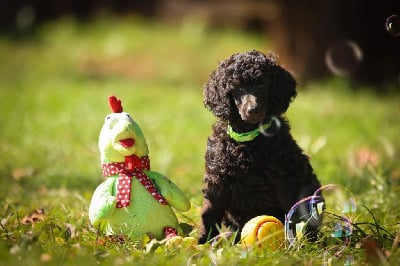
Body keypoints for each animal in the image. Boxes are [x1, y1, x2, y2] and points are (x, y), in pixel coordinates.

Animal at [200, 49, 322, 243]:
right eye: (237, 88)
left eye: (262, 84)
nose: (253, 110)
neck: (250, 139)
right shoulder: (217, 178)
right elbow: (209, 212)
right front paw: (202, 243)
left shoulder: (286, 178)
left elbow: (292, 213)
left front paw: (294, 244)